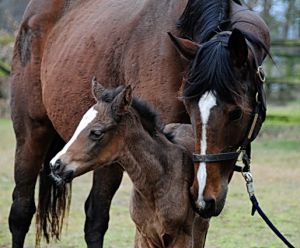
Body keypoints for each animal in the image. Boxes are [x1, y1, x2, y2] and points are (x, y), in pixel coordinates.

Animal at [9, 0, 270, 247]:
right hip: (32, 133)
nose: (204, 199)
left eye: (236, 113)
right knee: (22, 212)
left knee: (95, 218)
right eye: (189, 104)